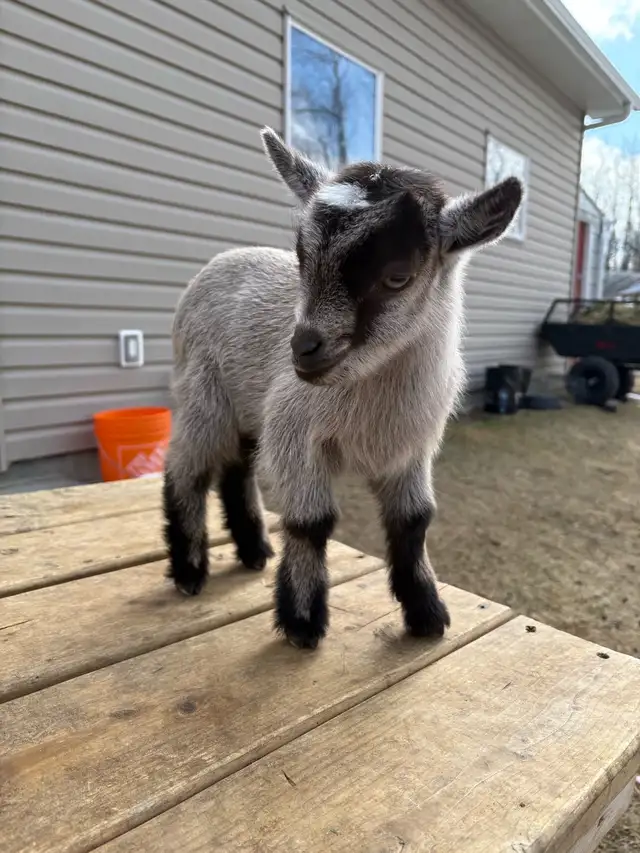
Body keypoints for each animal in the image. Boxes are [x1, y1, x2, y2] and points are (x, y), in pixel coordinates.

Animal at [162, 126, 523, 649]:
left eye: (398, 276)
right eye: (302, 258)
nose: (302, 349)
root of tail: (223, 259)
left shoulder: (411, 450)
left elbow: (414, 521)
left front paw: (427, 614)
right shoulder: (296, 434)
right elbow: (311, 522)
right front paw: (302, 623)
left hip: (248, 405)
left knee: (236, 467)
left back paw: (254, 551)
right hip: (202, 390)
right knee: (187, 468)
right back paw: (189, 571)